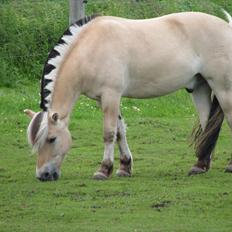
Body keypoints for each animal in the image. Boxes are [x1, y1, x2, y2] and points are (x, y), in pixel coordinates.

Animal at [24, 10, 232, 181]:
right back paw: (200, 165)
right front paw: (124, 167)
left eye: (52, 139)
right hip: (200, 88)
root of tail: (227, 26)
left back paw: (227, 166)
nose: (43, 175)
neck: (92, 48)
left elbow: (109, 133)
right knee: (207, 125)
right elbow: (120, 132)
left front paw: (103, 170)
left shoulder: (111, 95)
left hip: (223, 89)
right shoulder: (103, 100)